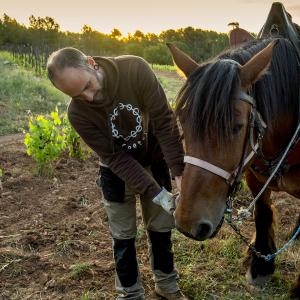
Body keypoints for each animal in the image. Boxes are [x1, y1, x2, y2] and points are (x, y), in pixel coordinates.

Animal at [168, 2, 298, 298]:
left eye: (237, 126)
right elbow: (263, 214)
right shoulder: (253, 173)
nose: (187, 223)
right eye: (183, 121)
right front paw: (261, 264)